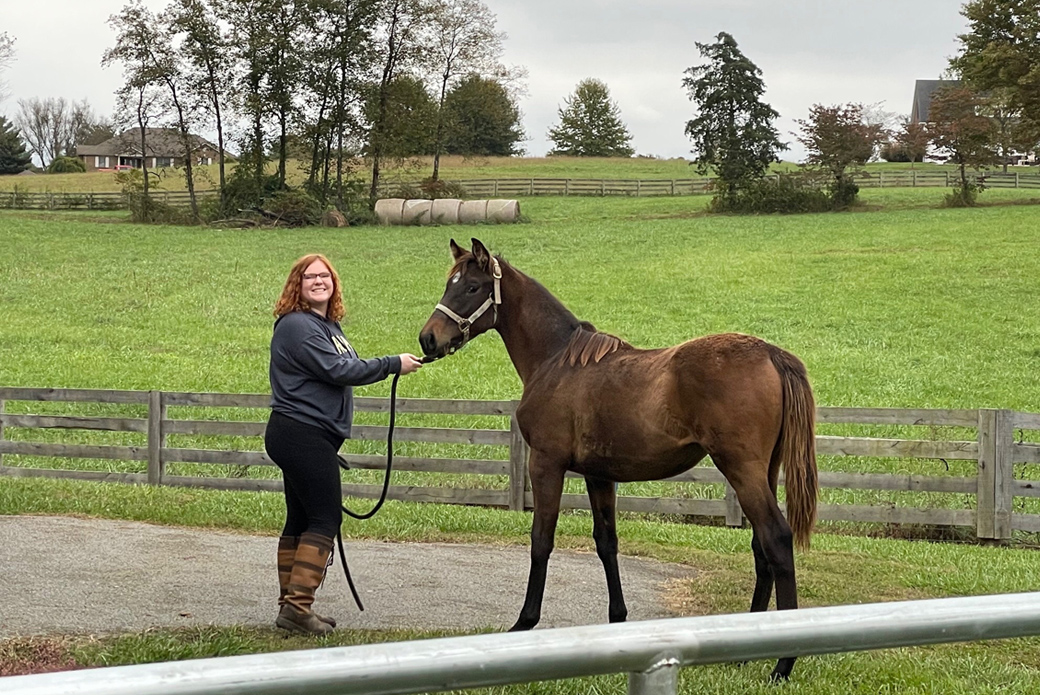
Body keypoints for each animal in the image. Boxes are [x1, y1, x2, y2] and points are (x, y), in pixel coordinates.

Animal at [418, 237, 815, 678]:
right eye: (449, 284)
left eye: (472, 287)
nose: (428, 339)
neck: (556, 361)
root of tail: (770, 353)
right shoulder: (599, 476)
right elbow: (606, 543)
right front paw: (617, 620)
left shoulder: (546, 465)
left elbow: (541, 540)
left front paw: (524, 622)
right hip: (762, 472)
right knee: (761, 547)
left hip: (742, 470)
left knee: (775, 539)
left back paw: (783, 664)